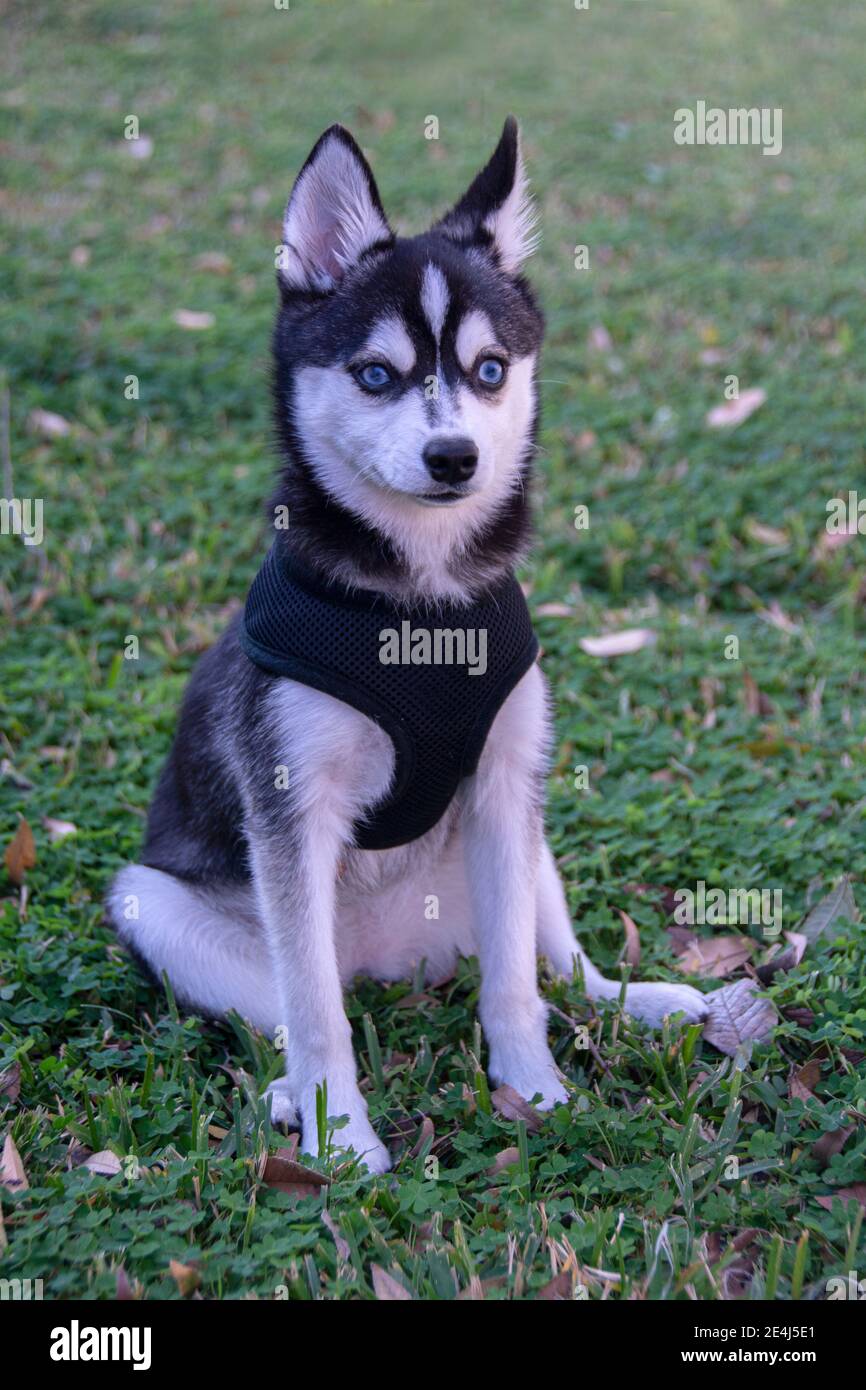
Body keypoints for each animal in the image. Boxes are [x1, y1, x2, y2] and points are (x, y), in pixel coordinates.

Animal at [108, 125, 708, 1178]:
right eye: (376, 375)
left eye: (491, 370)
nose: (454, 457)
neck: (421, 604)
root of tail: (390, 957)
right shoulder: (289, 811)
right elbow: (317, 1016)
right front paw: (340, 1134)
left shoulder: (506, 781)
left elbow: (515, 983)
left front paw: (535, 1088)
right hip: (154, 903)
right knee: (294, 1004)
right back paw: (287, 1094)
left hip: (522, 848)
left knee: (552, 962)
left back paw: (625, 998)